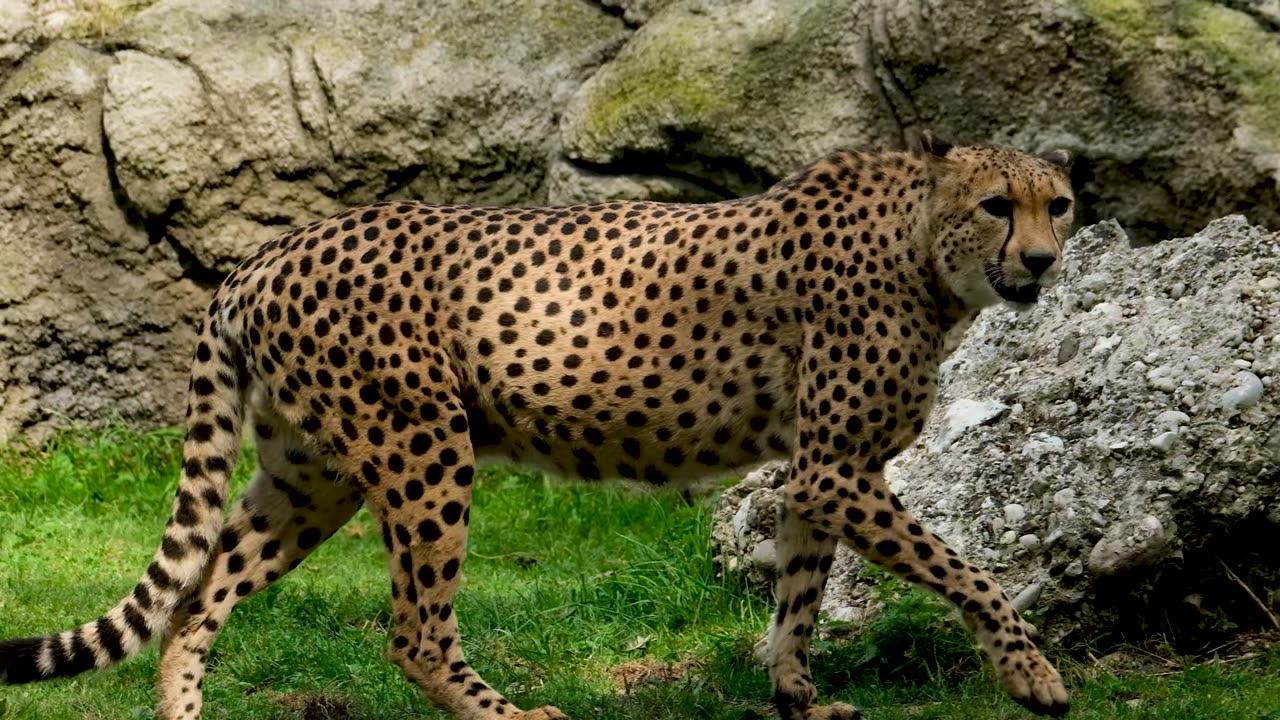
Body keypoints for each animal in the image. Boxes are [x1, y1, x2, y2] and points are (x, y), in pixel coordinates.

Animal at [0, 135, 1075, 717]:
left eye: (1058, 204)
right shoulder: (838, 469)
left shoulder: (817, 471)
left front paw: (797, 701)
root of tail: (270, 250)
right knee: (415, 635)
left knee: (195, 602)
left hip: (312, 474)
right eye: (997, 204)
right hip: (424, 445)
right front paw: (1034, 676)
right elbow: (970, 573)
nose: (1043, 262)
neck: (925, 250)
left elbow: (801, 598)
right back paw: (512, 714)